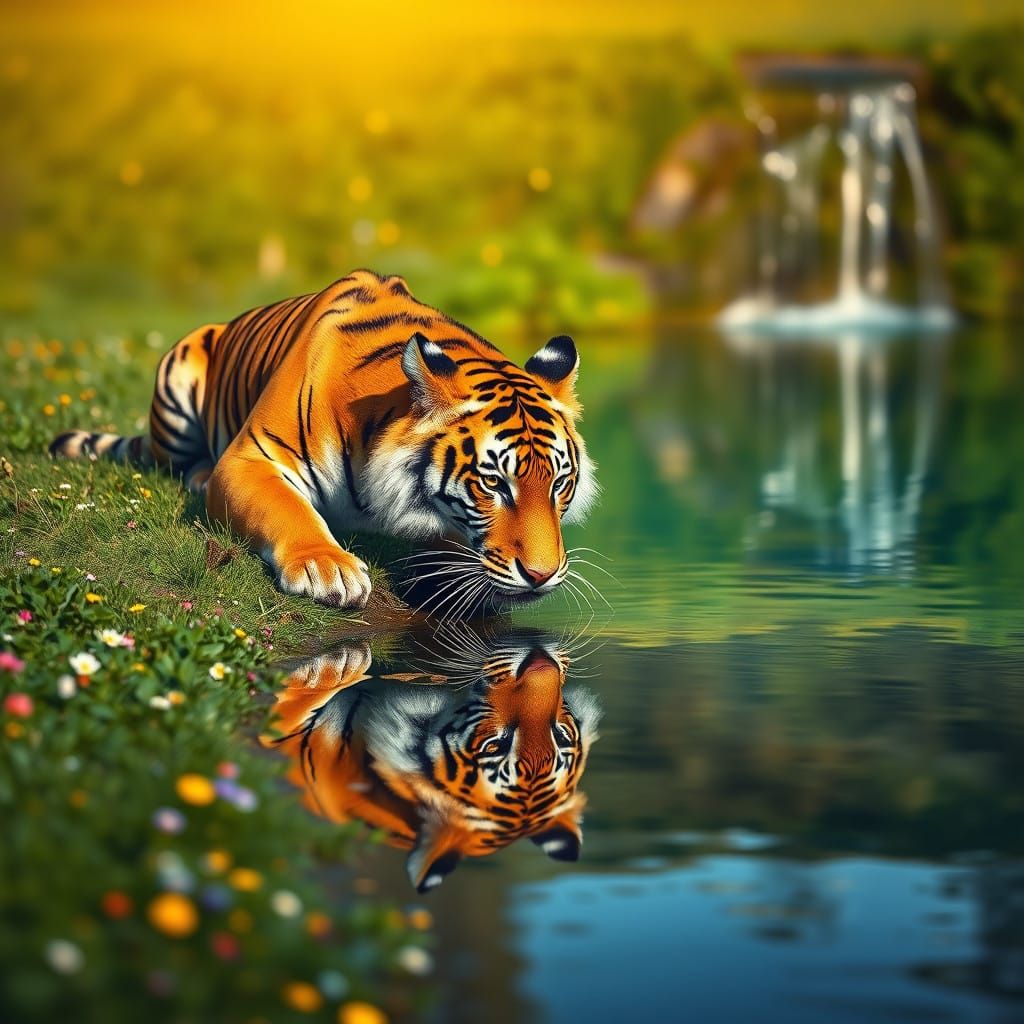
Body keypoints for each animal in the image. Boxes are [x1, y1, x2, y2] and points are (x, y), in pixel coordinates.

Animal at [49, 270, 597, 610]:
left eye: (559, 484)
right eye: (494, 483)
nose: (543, 575)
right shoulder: (253, 456)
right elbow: (287, 509)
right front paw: (327, 569)